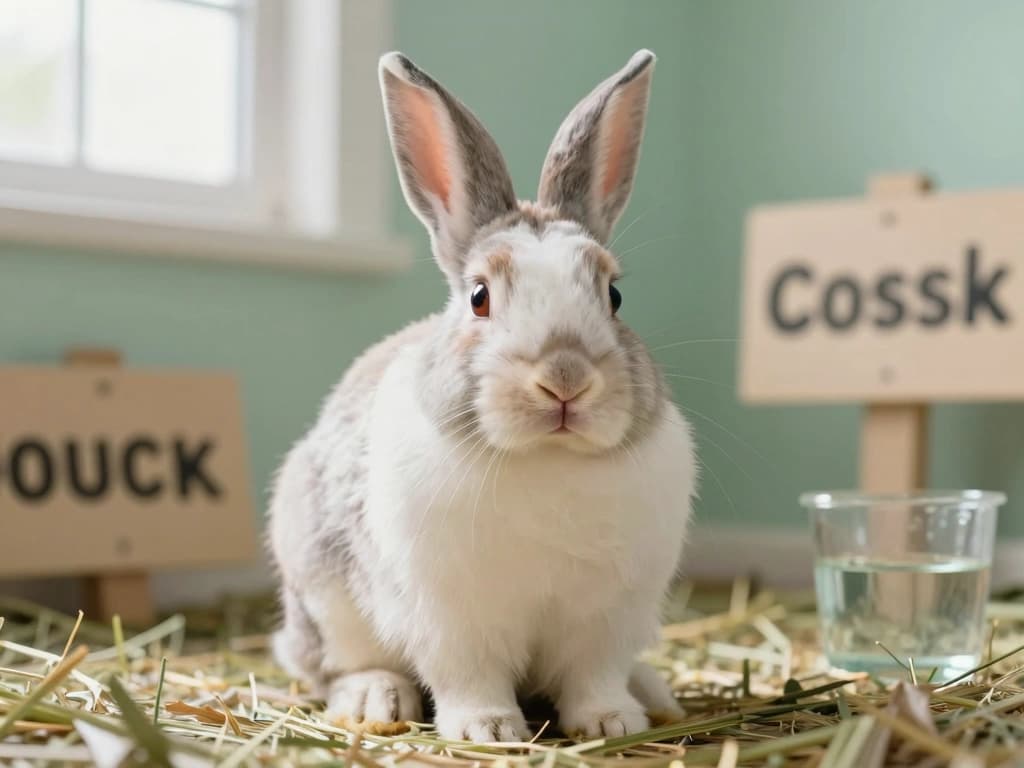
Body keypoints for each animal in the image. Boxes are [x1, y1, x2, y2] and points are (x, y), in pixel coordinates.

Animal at [268, 48, 697, 743]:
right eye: (479, 297)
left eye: (614, 295)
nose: (565, 378)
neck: (547, 460)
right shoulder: (452, 619)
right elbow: (469, 677)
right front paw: (489, 731)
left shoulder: (606, 620)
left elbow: (594, 676)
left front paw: (613, 722)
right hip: (324, 601)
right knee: (336, 667)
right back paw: (375, 700)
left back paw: (652, 693)